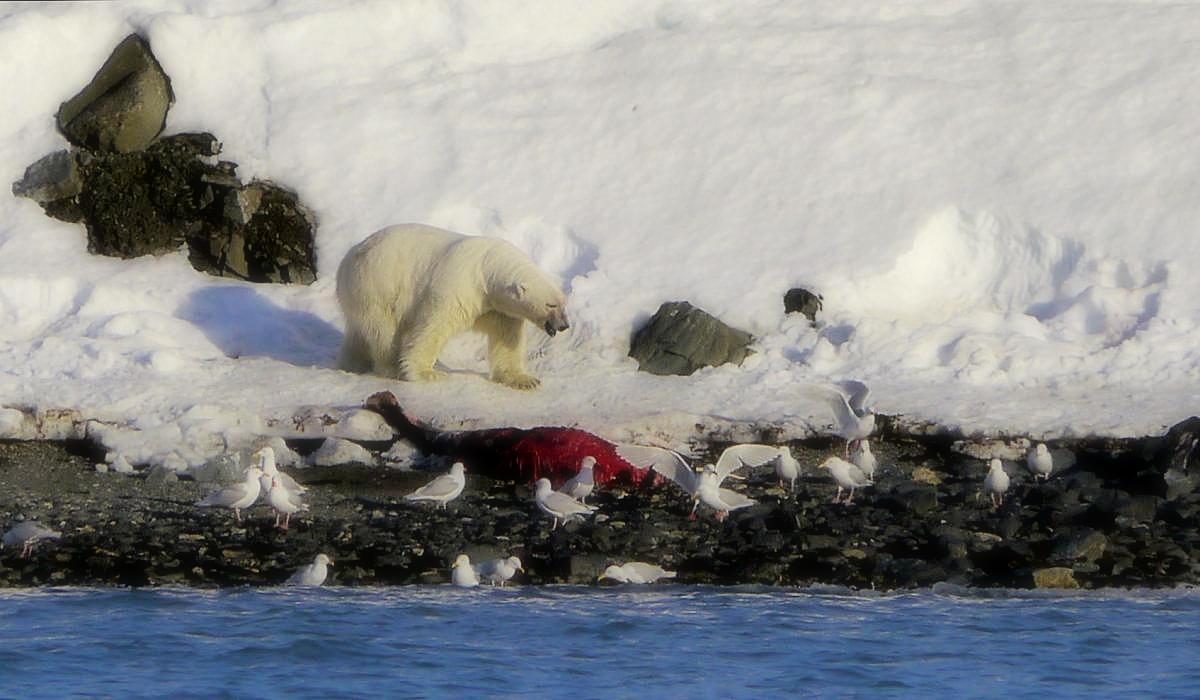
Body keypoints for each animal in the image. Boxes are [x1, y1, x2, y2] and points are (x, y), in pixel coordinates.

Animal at [333, 223, 566, 389]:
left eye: (563, 304)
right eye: (550, 304)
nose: (564, 325)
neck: (486, 266)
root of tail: (346, 260)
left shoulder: (495, 305)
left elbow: (506, 337)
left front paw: (524, 380)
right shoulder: (458, 286)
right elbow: (434, 327)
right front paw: (427, 373)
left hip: (359, 294)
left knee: (360, 331)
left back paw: (352, 364)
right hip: (376, 284)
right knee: (383, 331)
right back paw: (390, 367)